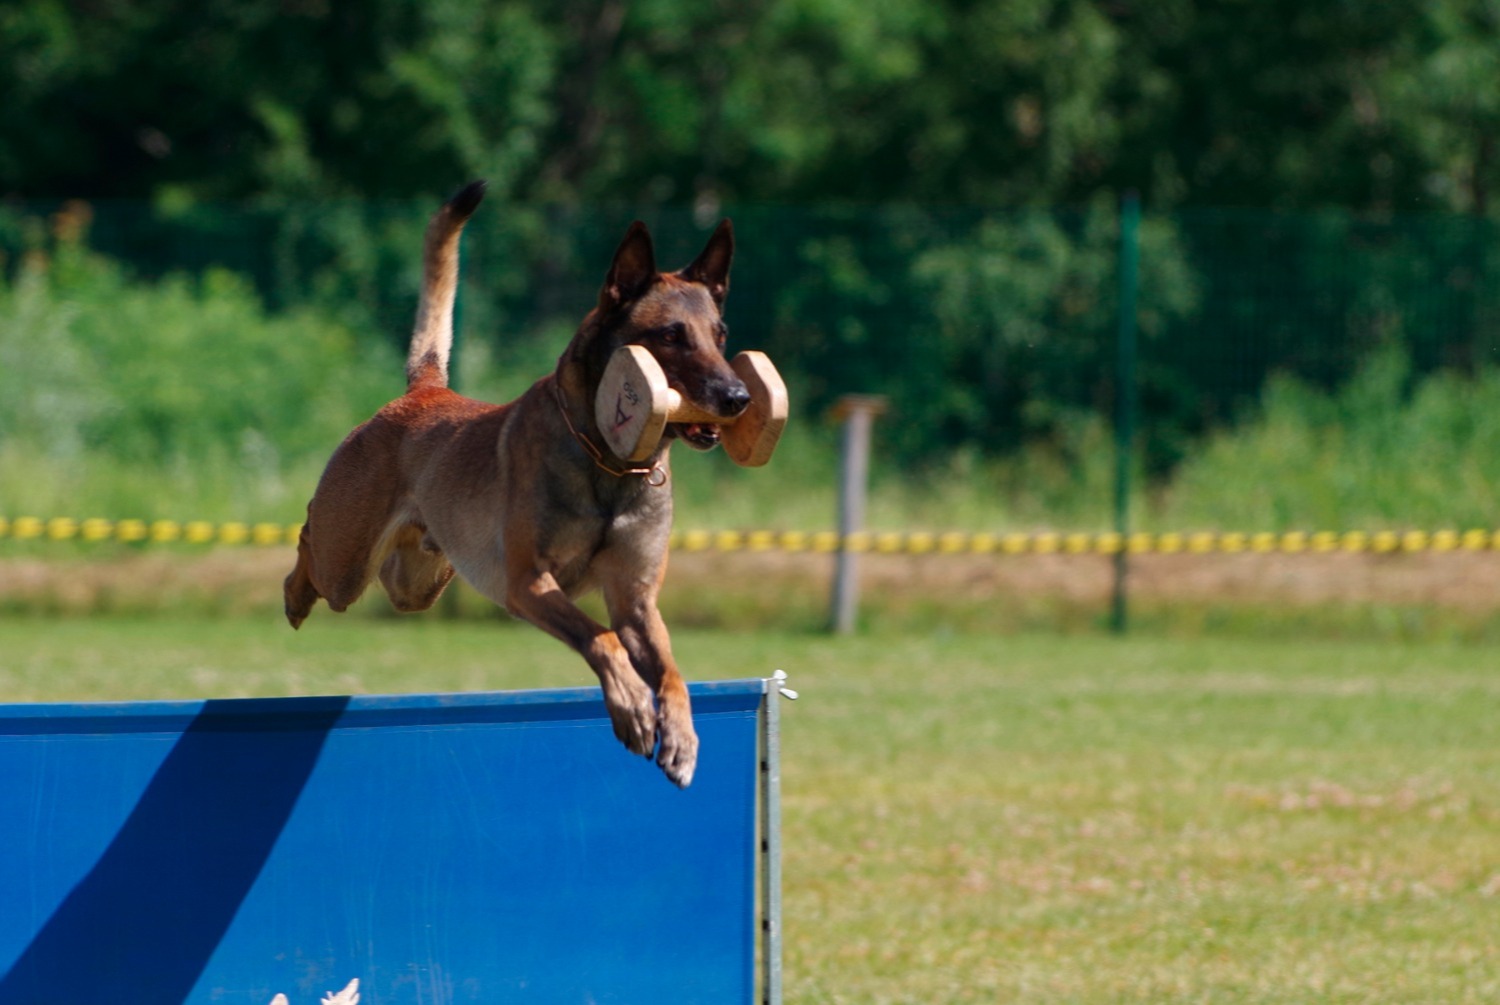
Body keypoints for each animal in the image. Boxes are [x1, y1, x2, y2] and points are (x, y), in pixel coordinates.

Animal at [282, 185, 750, 792]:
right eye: (672, 336)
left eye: (720, 337)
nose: (738, 397)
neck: (608, 463)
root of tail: (425, 391)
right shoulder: (528, 584)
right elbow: (601, 638)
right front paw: (631, 706)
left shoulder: (636, 601)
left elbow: (670, 672)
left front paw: (681, 739)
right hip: (347, 562)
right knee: (311, 545)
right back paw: (295, 594)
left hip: (419, 580)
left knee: (390, 574)